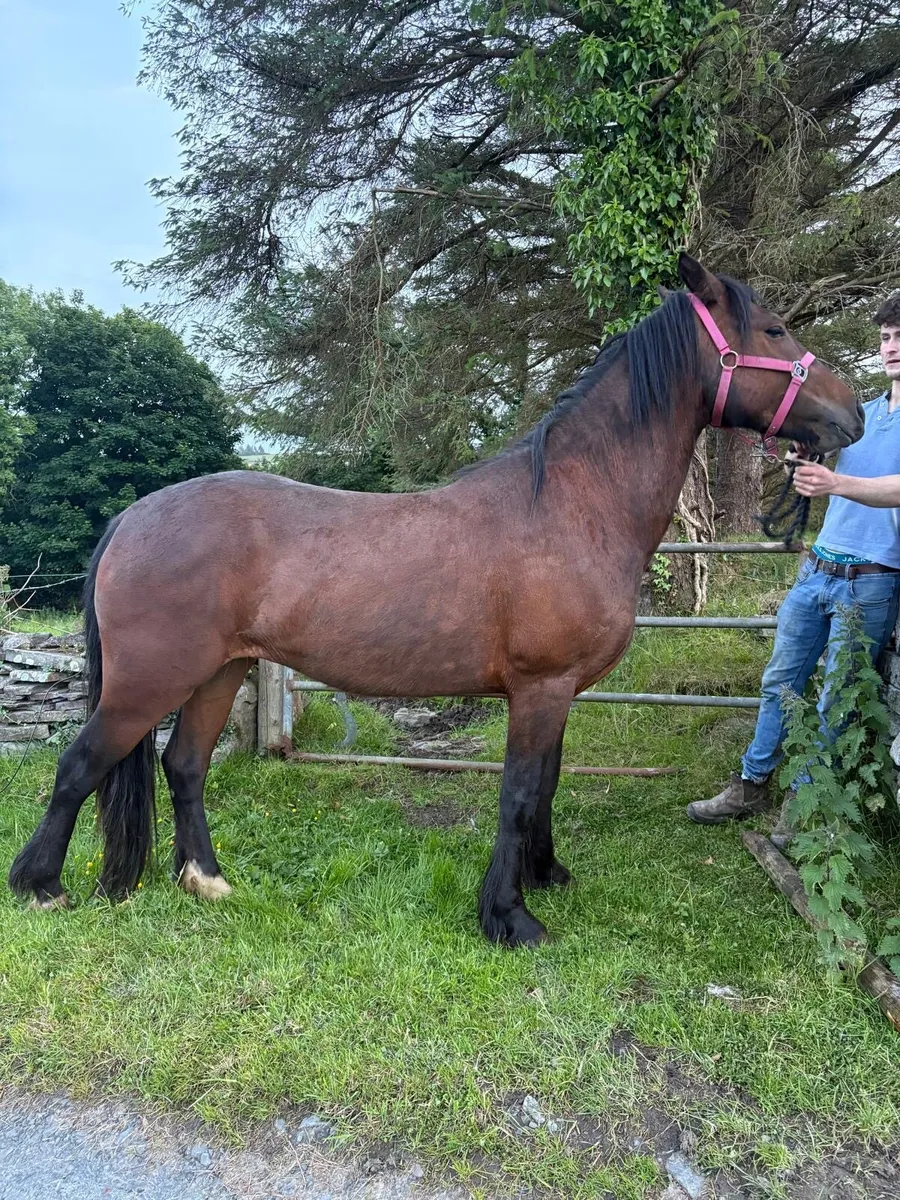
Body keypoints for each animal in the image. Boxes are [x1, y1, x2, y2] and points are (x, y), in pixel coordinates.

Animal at [8, 254, 863, 946]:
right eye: (777, 328)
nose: (852, 414)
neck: (571, 502)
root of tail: (133, 518)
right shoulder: (540, 687)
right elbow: (519, 795)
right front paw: (510, 918)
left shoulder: (558, 692)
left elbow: (547, 786)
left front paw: (545, 877)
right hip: (150, 680)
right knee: (79, 764)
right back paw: (41, 887)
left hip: (220, 672)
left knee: (183, 766)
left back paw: (209, 880)